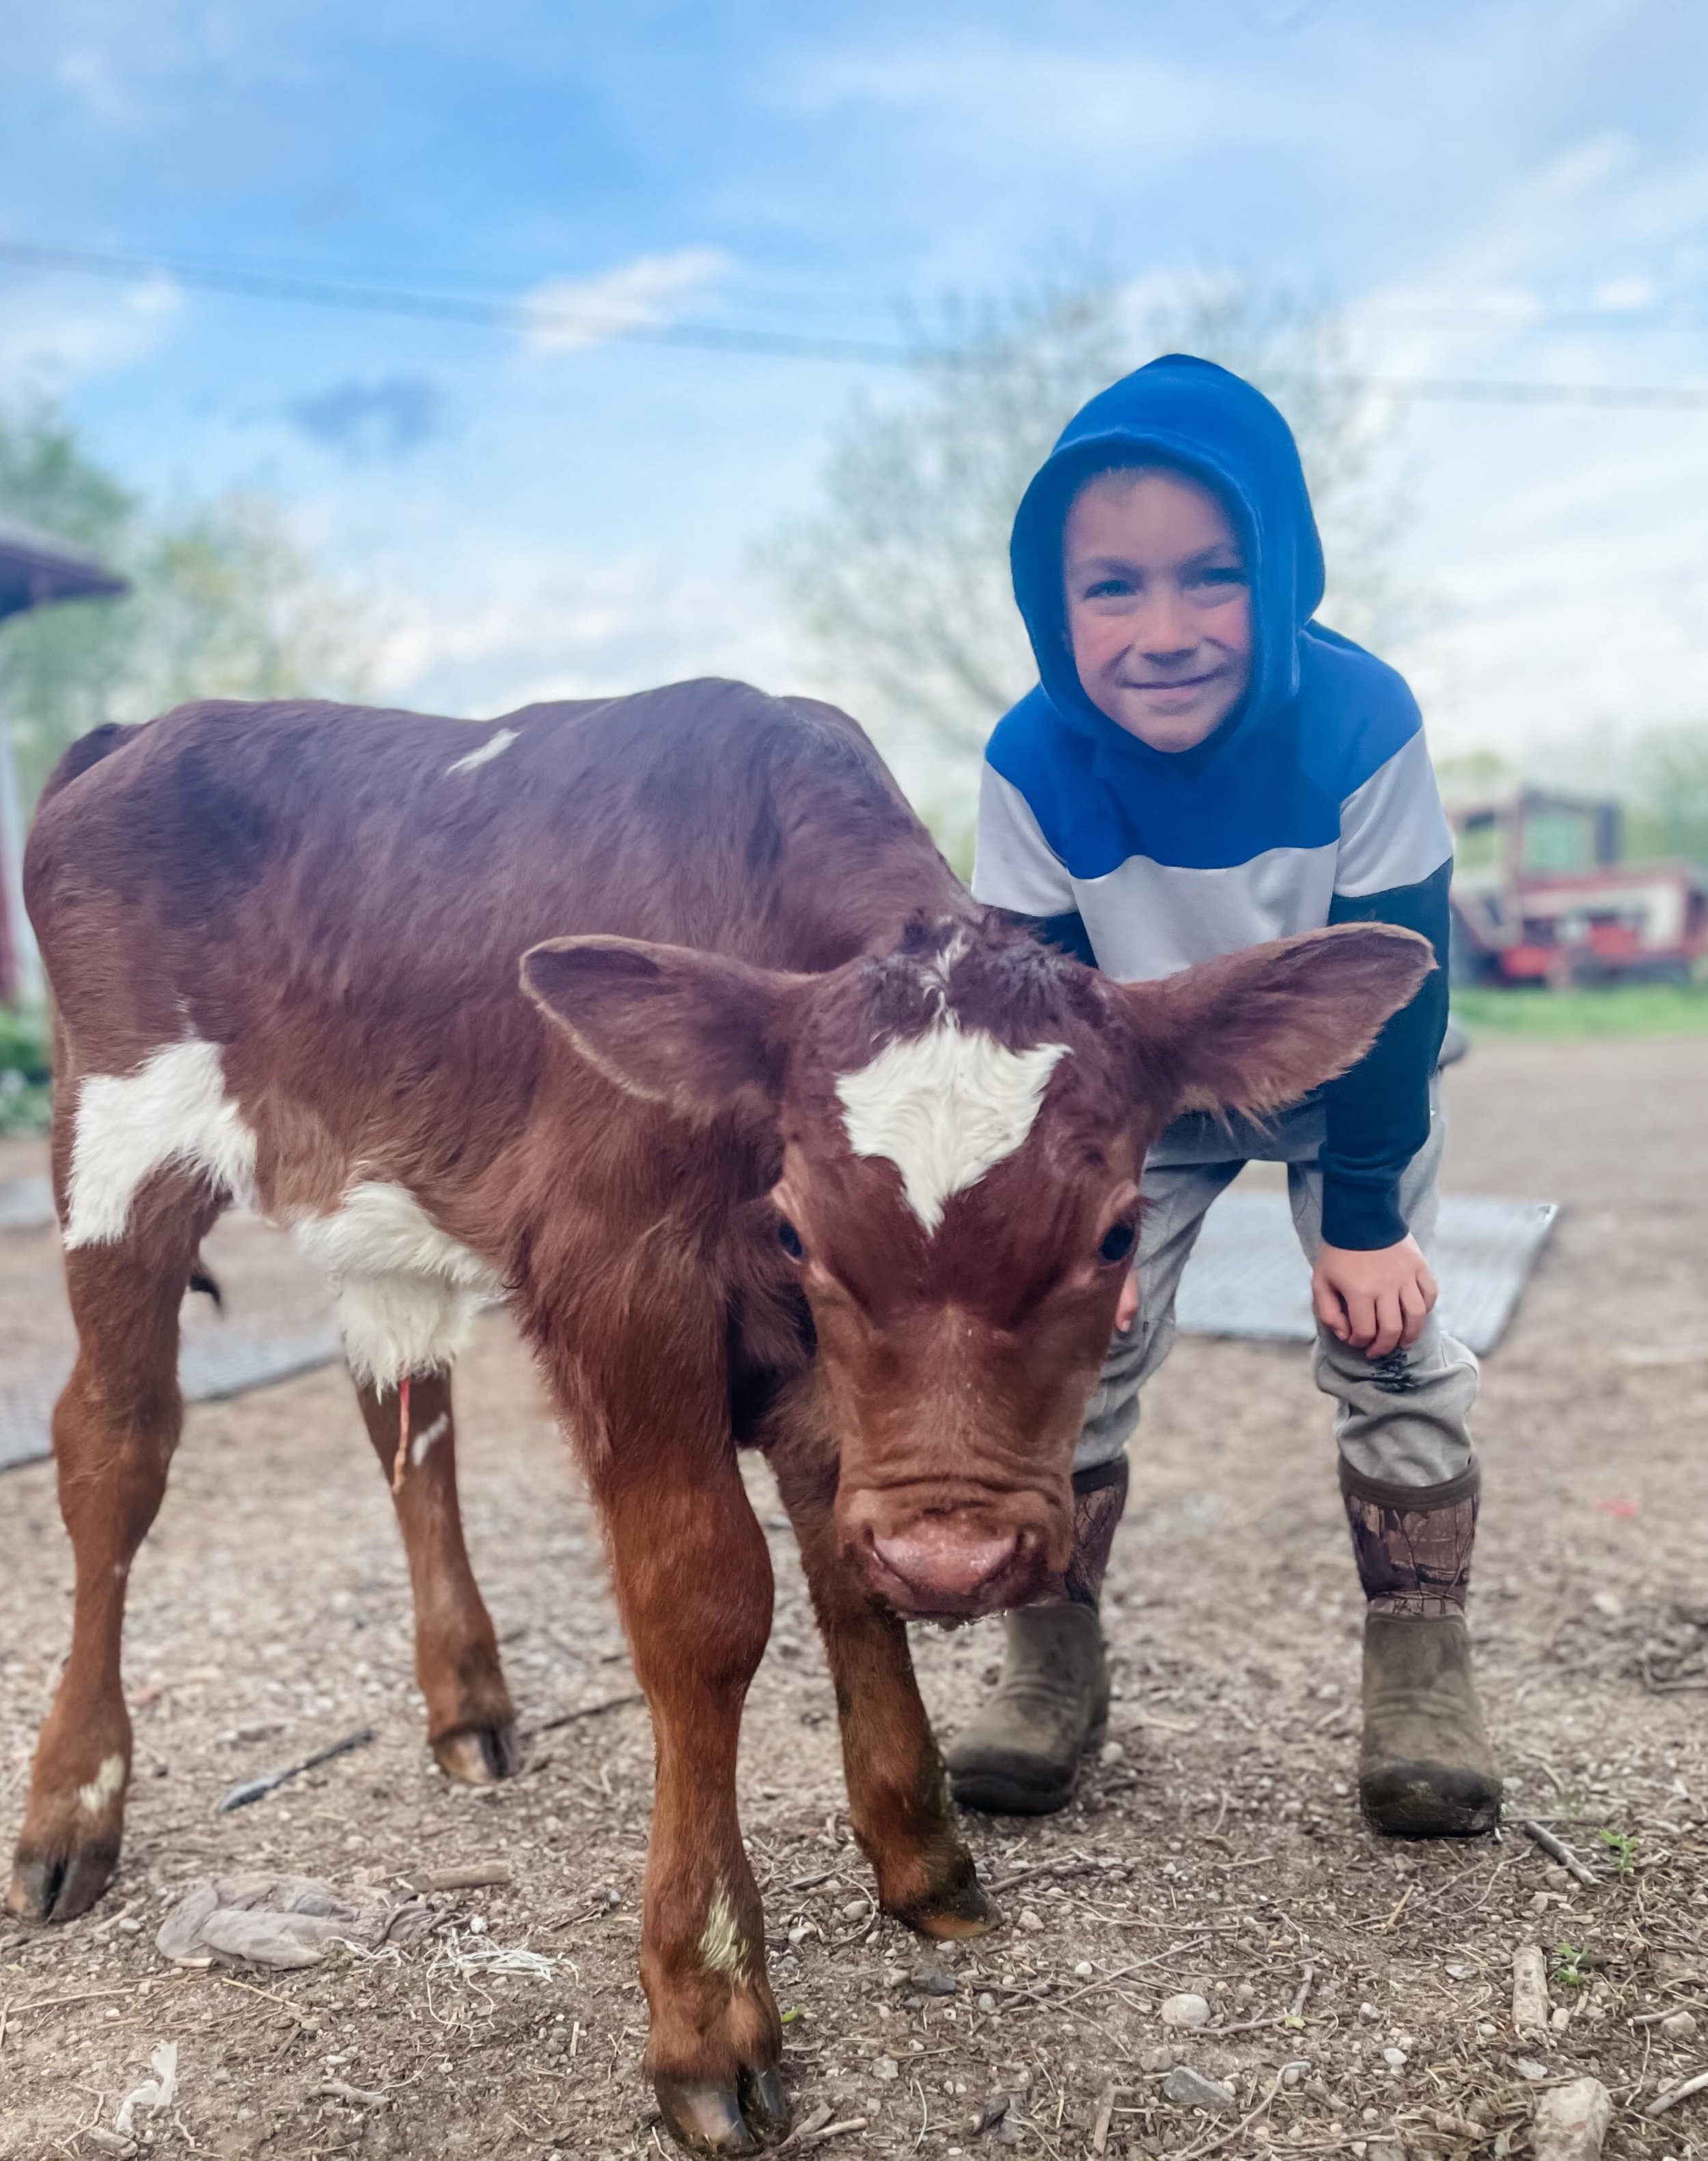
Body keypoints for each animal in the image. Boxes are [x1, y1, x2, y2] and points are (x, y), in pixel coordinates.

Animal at [7, 681, 1429, 2153]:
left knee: (407, 1419)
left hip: (372, 1190)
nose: (956, 1556)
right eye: (802, 1227)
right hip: (114, 1149)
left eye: (1114, 1233)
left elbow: (845, 1576)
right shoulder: (620, 1279)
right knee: (113, 1447)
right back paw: (70, 1810)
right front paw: (706, 2004)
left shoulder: (819, 1386)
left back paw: (466, 1702)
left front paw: (922, 1853)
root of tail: (142, 731)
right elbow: (705, 1607)